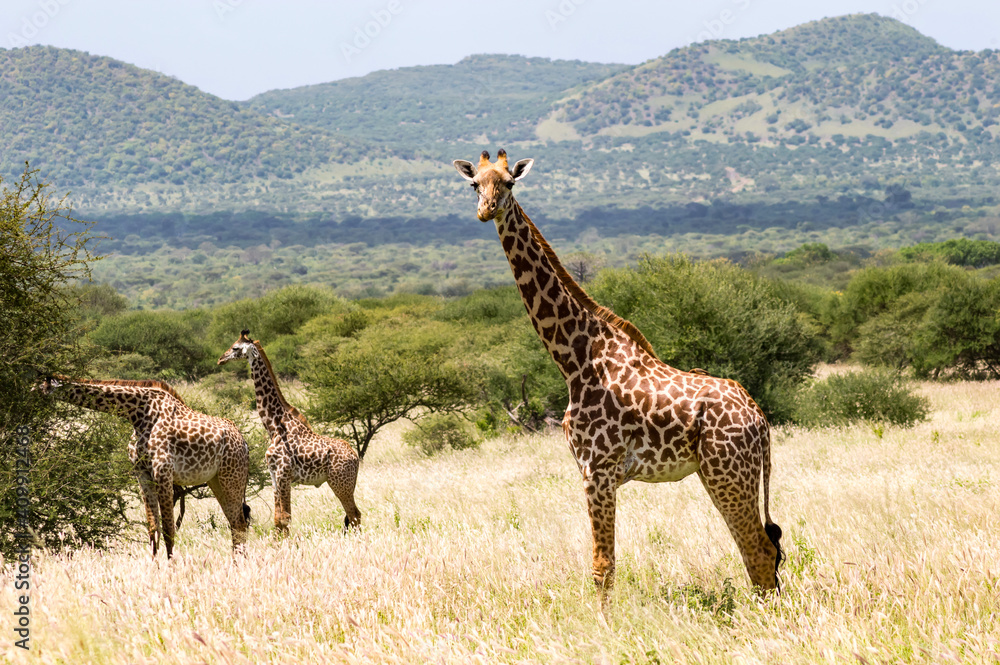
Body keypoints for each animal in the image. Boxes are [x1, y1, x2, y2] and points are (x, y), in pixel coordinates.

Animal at [37, 376, 252, 556]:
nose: (32, 393)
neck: (138, 413)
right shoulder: (142, 473)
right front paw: (155, 569)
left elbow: (168, 530)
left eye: (42, 386)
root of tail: (244, 443)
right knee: (235, 523)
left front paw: (172, 570)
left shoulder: (163, 471)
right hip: (216, 480)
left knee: (239, 523)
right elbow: (153, 529)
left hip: (231, 477)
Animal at [217, 330, 362, 536]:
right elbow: (278, 520)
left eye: (235, 348)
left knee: (354, 515)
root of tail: (355, 457)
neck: (274, 426)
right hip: (344, 483)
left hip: (341, 483)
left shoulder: (284, 473)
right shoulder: (274, 475)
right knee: (353, 516)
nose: (220, 359)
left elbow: (285, 518)